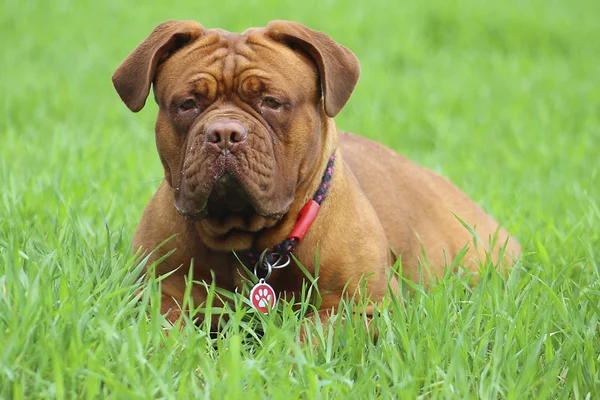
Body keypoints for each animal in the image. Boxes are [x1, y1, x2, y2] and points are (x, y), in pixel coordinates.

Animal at [111, 18, 520, 324]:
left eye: (271, 102)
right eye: (187, 104)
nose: (224, 133)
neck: (250, 242)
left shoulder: (363, 306)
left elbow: (310, 333)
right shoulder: (160, 297)